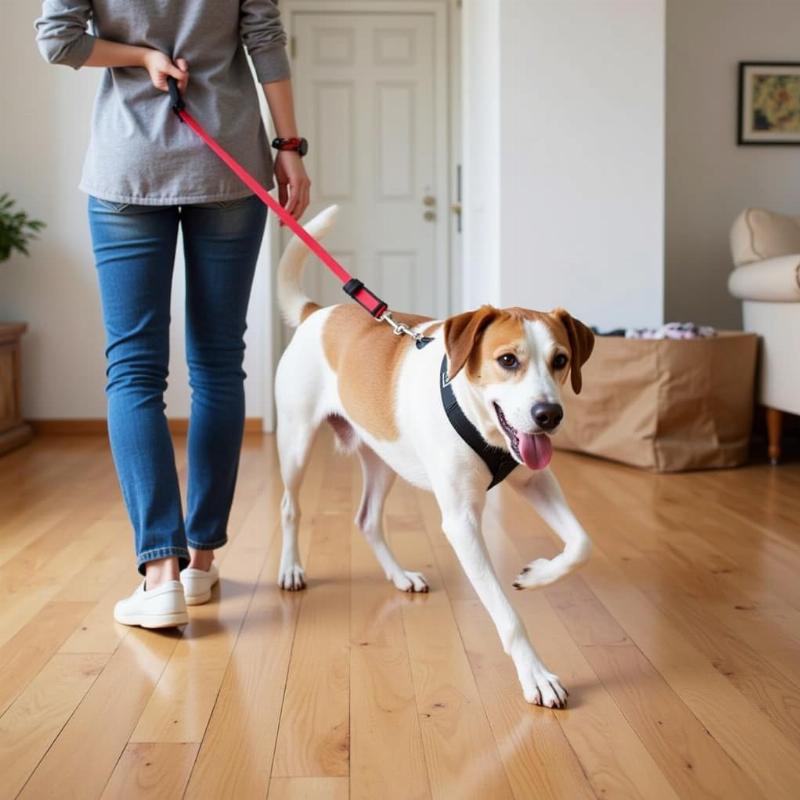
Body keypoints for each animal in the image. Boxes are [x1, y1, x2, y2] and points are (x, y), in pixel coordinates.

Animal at [276, 206, 592, 708]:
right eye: (507, 360)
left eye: (560, 360)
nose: (548, 415)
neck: (479, 420)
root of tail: (316, 313)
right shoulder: (461, 522)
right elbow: (507, 616)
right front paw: (536, 674)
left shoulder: (535, 480)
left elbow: (581, 544)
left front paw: (537, 574)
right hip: (295, 443)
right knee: (290, 507)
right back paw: (290, 569)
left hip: (383, 459)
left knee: (367, 519)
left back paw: (400, 575)